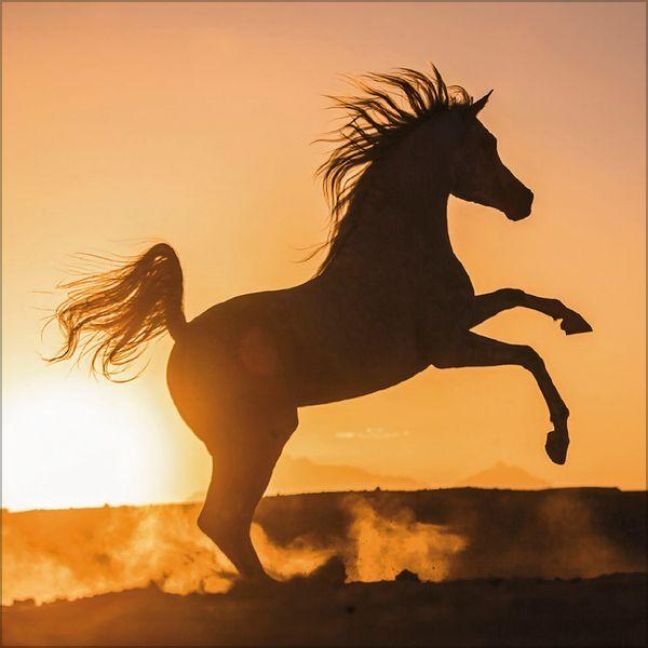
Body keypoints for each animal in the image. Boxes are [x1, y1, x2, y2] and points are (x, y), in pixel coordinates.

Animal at [46, 66, 592, 582]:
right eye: (486, 143)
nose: (525, 200)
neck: (399, 250)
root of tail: (182, 333)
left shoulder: (463, 317)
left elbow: (517, 297)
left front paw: (574, 321)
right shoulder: (448, 348)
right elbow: (529, 356)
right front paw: (558, 443)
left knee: (226, 520)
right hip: (258, 436)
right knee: (221, 518)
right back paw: (287, 583)